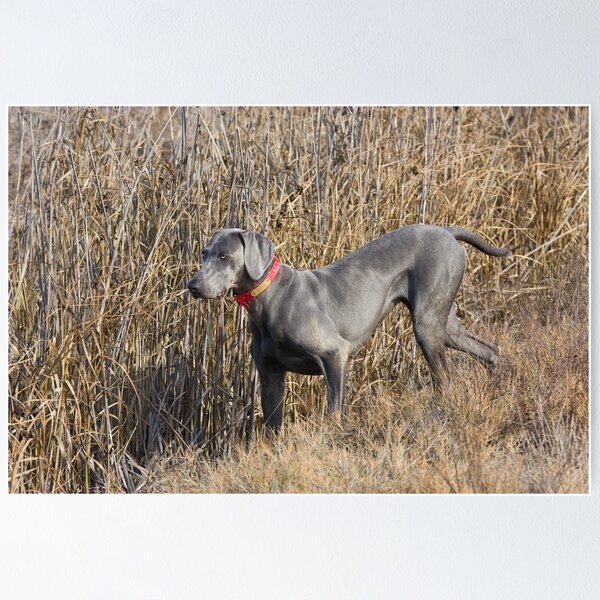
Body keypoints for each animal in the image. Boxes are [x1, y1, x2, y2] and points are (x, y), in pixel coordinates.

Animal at [188, 225, 506, 432]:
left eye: (224, 256)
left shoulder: (334, 355)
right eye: (204, 253)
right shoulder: (270, 376)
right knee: (490, 351)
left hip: (427, 324)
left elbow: (334, 413)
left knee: (444, 379)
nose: (192, 286)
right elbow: (272, 426)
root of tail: (446, 231)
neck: (271, 298)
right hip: (445, 324)